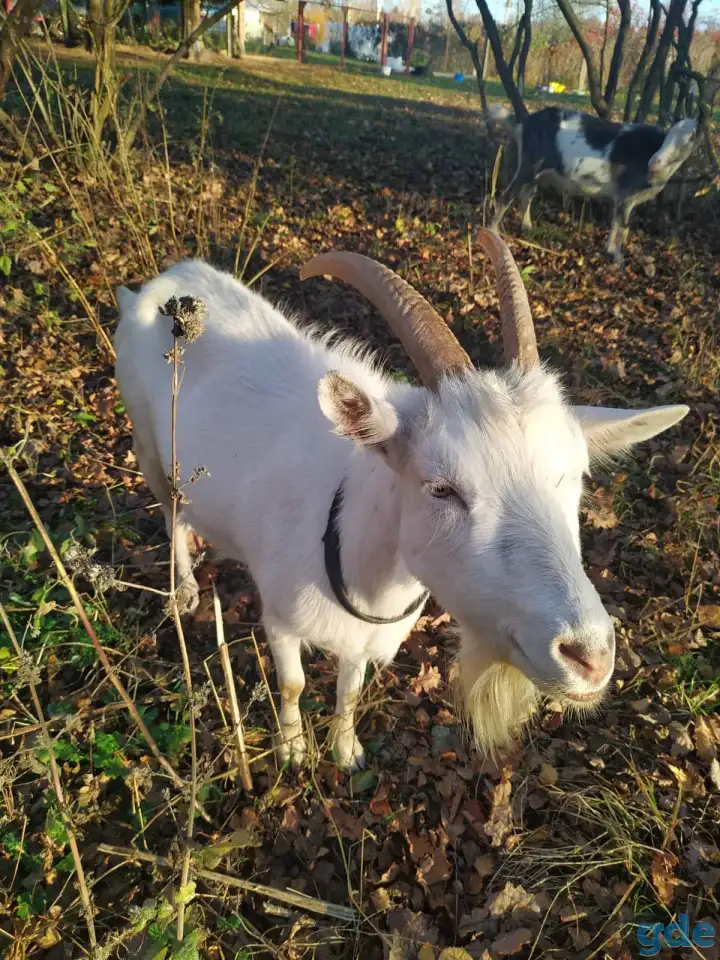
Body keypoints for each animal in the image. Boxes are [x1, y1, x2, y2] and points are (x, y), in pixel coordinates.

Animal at [114, 230, 689, 771]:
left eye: (576, 476)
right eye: (441, 487)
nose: (588, 658)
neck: (342, 535)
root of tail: (161, 283)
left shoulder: (364, 642)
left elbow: (349, 690)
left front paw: (346, 751)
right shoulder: (279, 619)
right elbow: (293, 684)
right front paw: (293, 751)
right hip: (147, 441)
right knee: (171, 511)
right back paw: (184, 591)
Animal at [488, 105, 699, 264]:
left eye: (690, 138)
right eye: (669, 134)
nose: (655, 161)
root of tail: (523, 123)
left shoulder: (622, 198)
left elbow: (617, 224)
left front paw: (611, 251)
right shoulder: (626, 195)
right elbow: (622, 227)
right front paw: (617, 259)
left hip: (536, 173)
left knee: (527, 196)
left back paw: (528, 227)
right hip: (529, 165)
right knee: (507, 196)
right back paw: (493, 232)